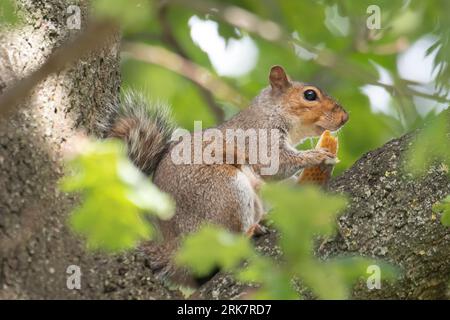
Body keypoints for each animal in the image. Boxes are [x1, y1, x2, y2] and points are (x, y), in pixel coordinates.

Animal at [99, 65, 348, 282]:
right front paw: (317, 155)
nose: (345, 117)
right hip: (224, 191)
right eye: (310, 95)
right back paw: (252, 231)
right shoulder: (258, 140)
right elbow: (278, 164)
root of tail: (176, 249)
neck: (270, 111)